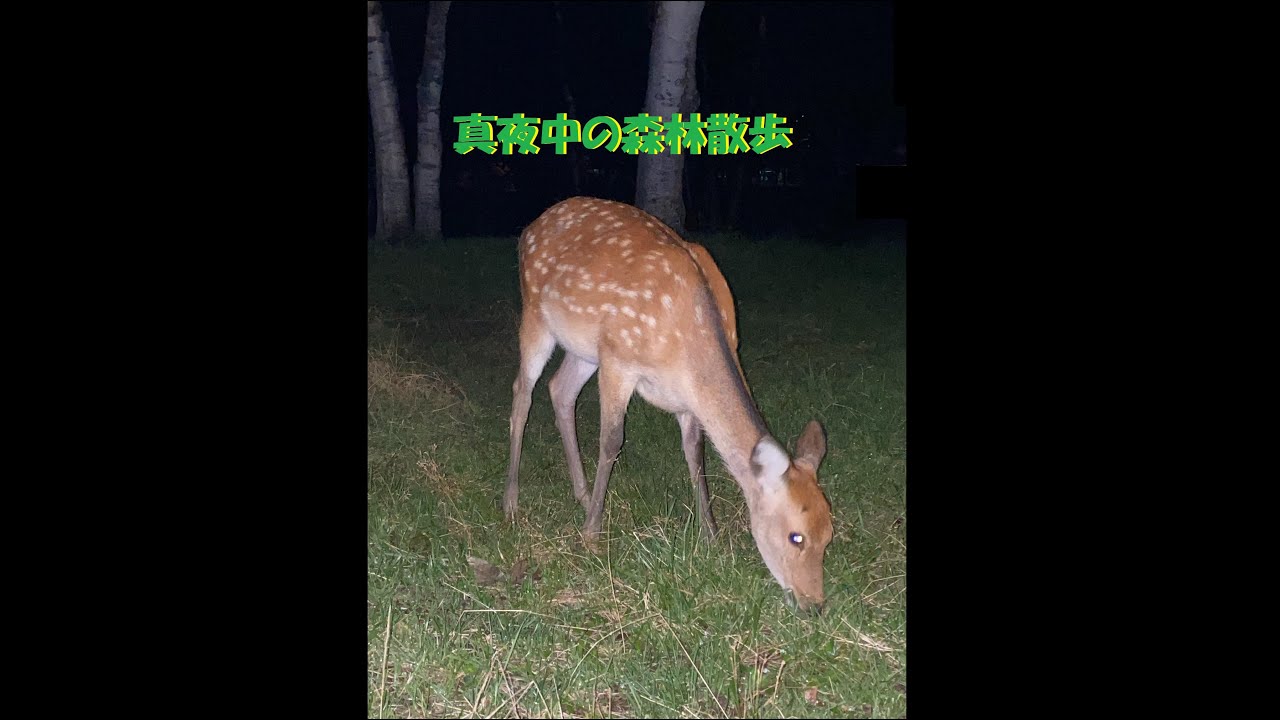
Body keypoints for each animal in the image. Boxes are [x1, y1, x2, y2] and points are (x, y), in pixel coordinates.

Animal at [503, 196, 833, 611]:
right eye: (796, 536)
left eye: (830, 533)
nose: (815, 605)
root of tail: (532, 225)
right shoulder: (619, 359)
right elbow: (611, 442)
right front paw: (591, 533)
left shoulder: (686, 401)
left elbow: (695, 452)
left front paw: (710, 534)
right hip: (536, 313)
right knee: (523, 392)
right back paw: (511, 501)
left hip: (584, 349)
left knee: (560, 390)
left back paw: (581, 493)